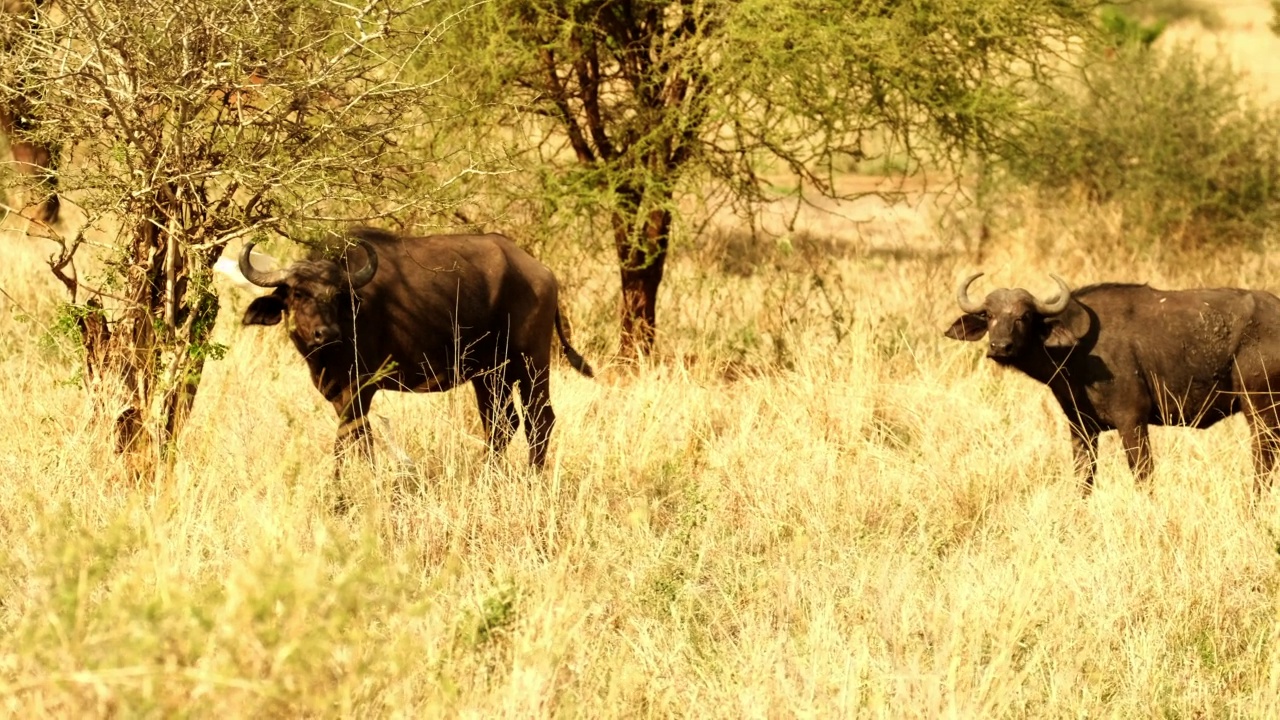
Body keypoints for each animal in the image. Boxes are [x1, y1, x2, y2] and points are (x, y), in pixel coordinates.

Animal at [240, 225, 593, 471]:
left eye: (338, 294)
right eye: (298, 293)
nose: (326, 333)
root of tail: (542, 273)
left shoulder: (360, 388)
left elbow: (354, 438)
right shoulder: (338, 391)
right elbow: (355, 437)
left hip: (531, 363)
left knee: (539, 420)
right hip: (489, 375)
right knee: (502, 424)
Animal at [942, 271, 1280, 489]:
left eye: (1024, 317)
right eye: (988, 315)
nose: (1000, 347)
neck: (1078, 350)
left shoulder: (1132, 420)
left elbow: (1142, 475)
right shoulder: (1081, 427)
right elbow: (1083, 479)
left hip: (1260, 409)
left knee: (1264, 461)